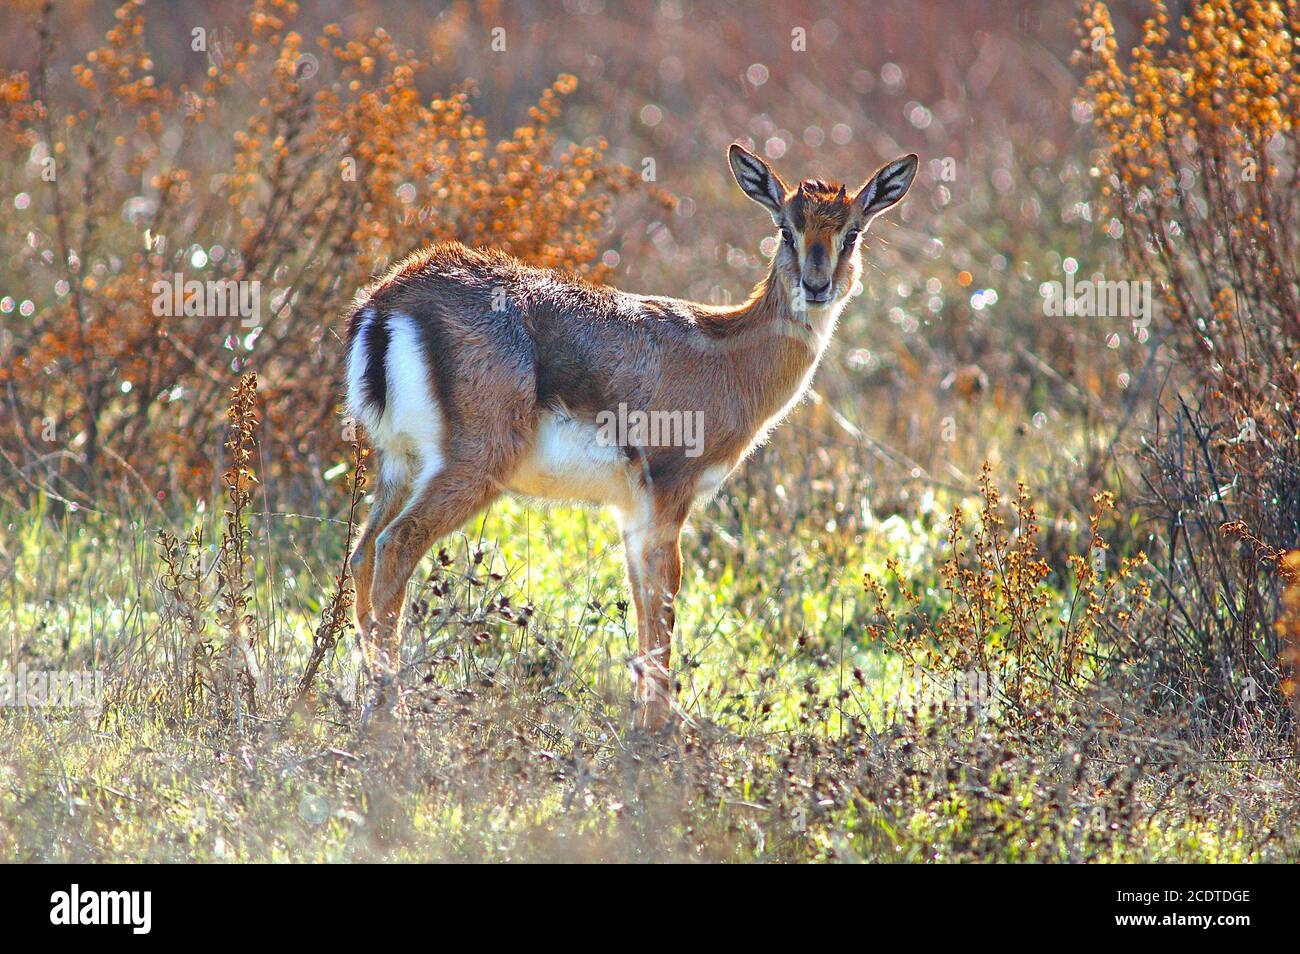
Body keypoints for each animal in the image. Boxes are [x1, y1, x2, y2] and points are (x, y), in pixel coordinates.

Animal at [345, 144, 918, 728]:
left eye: (852, 231)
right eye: (786, 228)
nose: (816, 285)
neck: (727, 355)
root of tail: (388, 302)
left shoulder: (630, 510)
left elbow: (641, 600)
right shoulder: (670, 491)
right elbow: (665, 598)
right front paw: (658, 730)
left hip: (399, 466)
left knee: (362, 555)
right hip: (471, 470)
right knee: (395, 547)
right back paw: (394, 716)